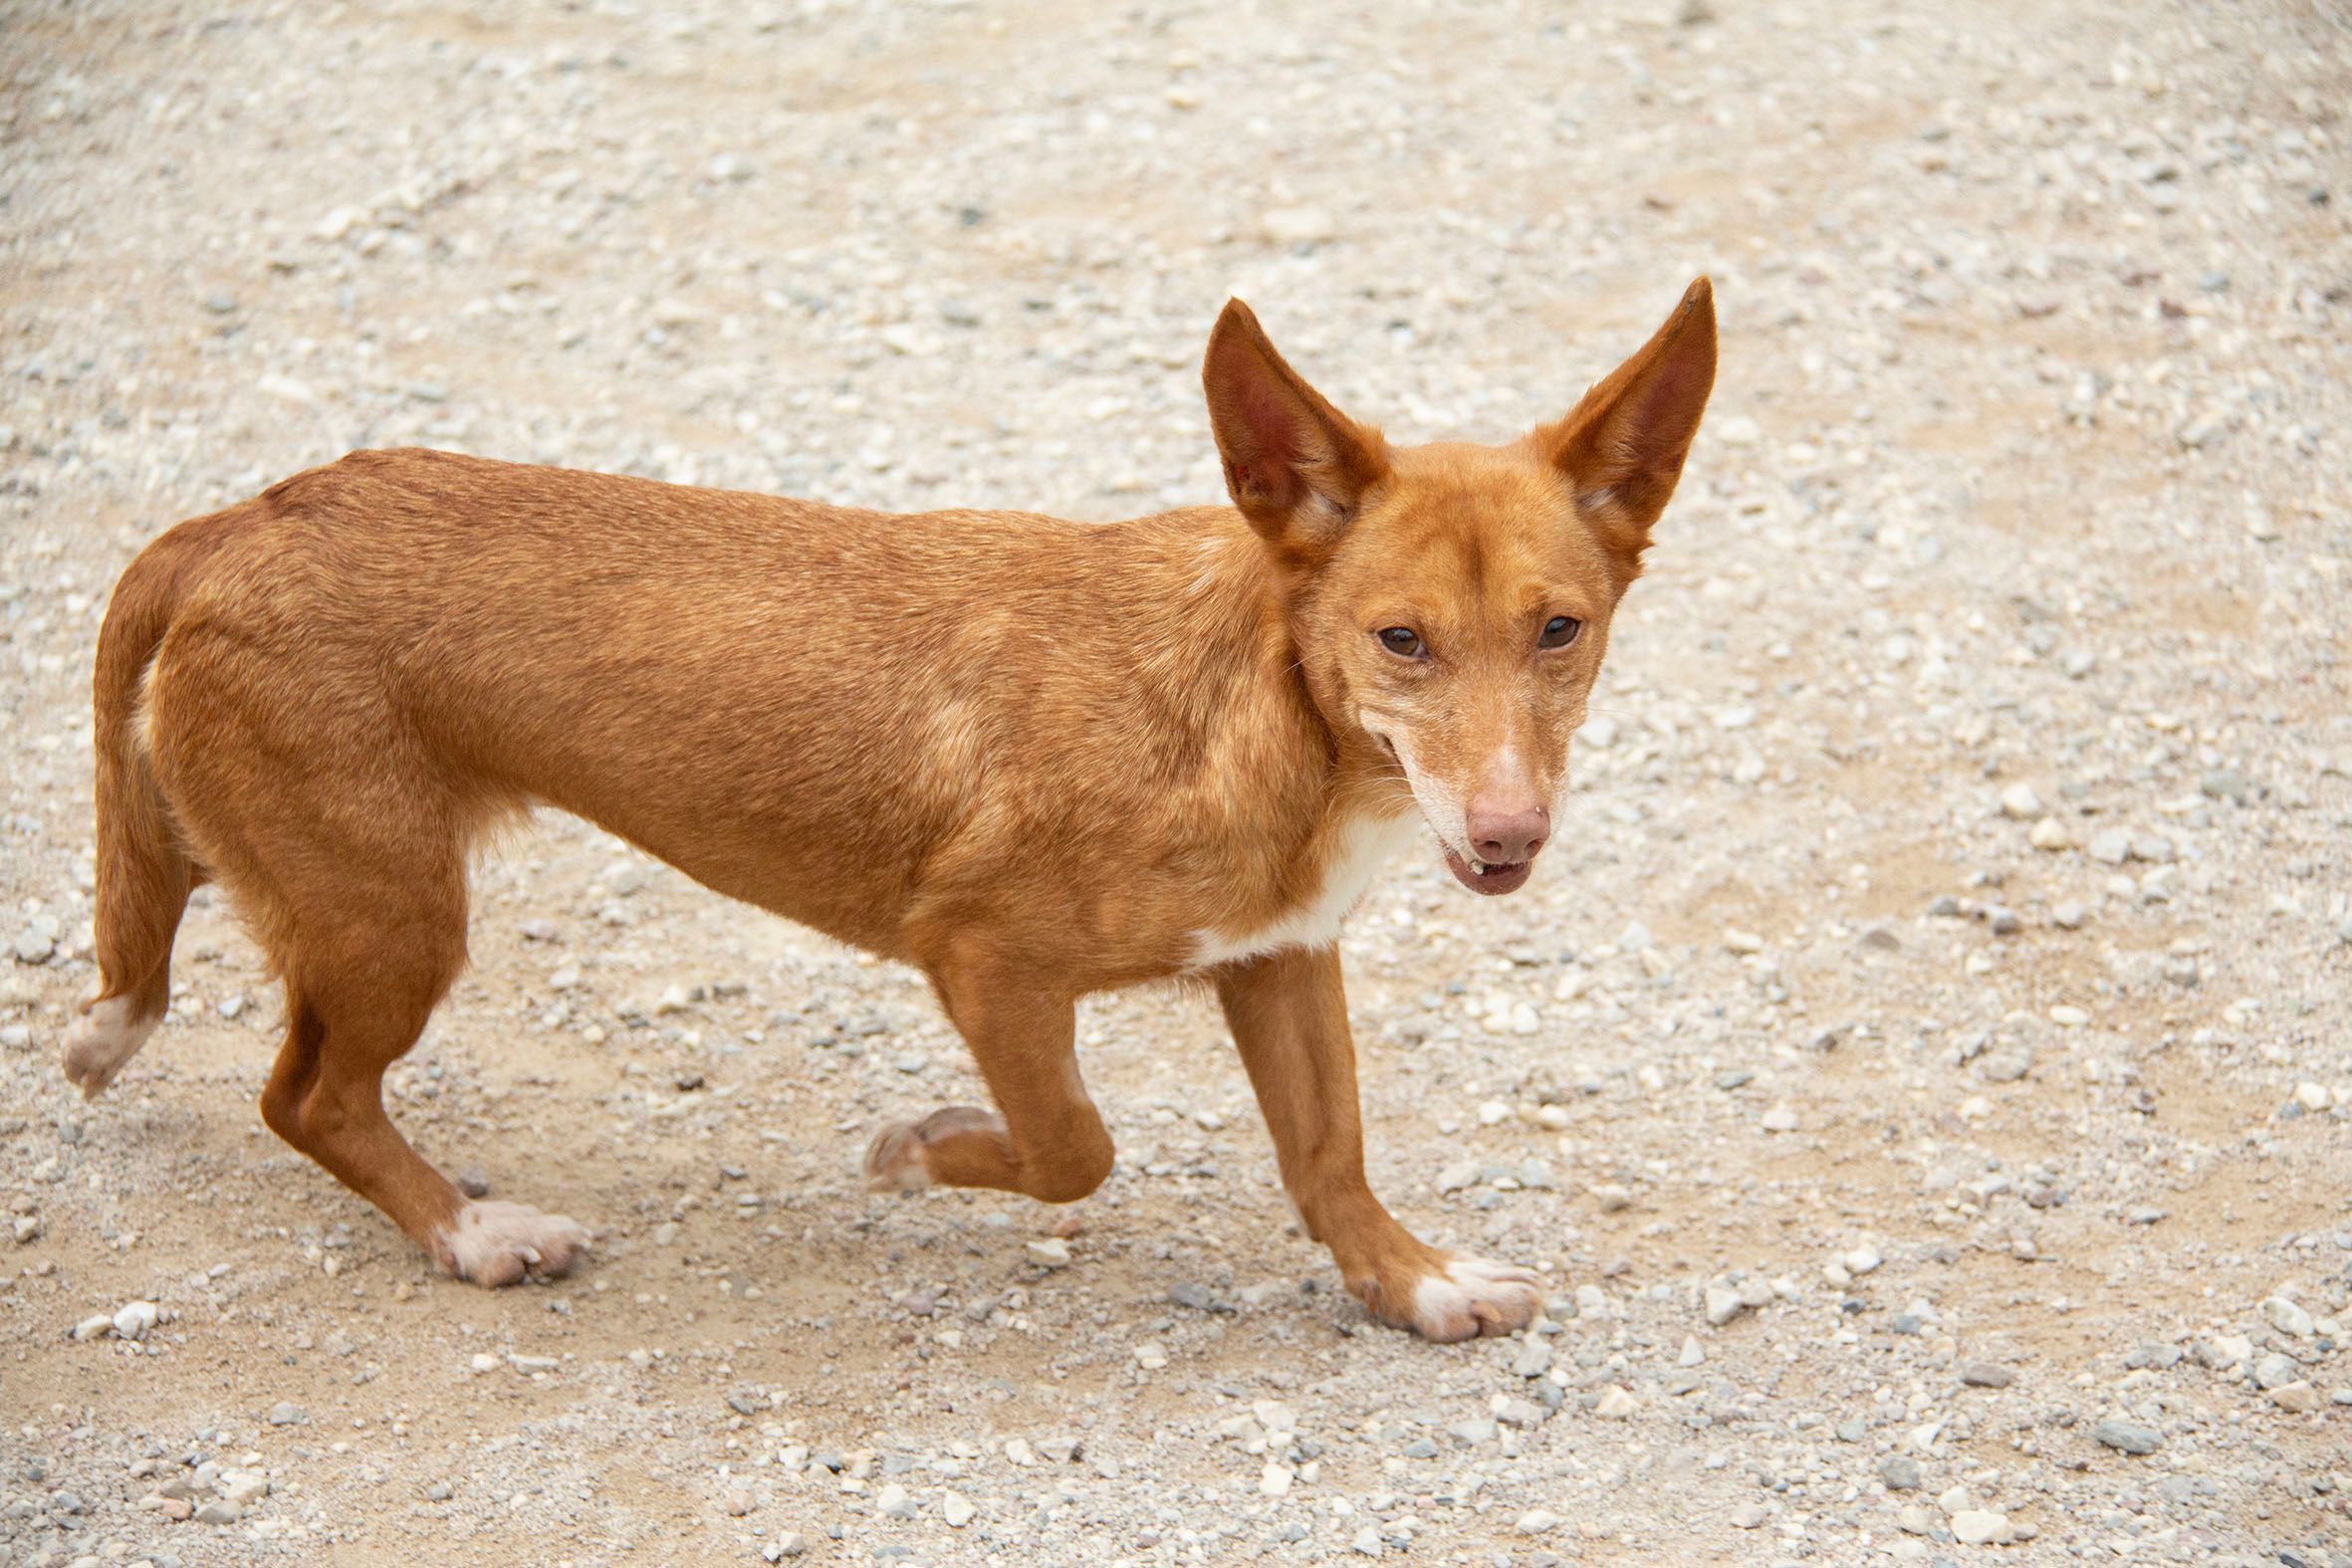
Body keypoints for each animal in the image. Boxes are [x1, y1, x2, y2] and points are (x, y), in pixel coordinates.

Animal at [63, 280, 1714, 1341]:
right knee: (303, 1096)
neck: (1254, 707)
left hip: (323, 876)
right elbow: (1074, 1143)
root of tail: (233, 522)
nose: (1505, 835)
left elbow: (1329, 1153)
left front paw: (1410, 1279)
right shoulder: (983, 958)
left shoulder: (1279, 955)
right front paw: (920, 1148)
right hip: (391, 910)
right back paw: (476, 1233)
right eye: (1399, 640)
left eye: (1559, 631)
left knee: (195, 971)